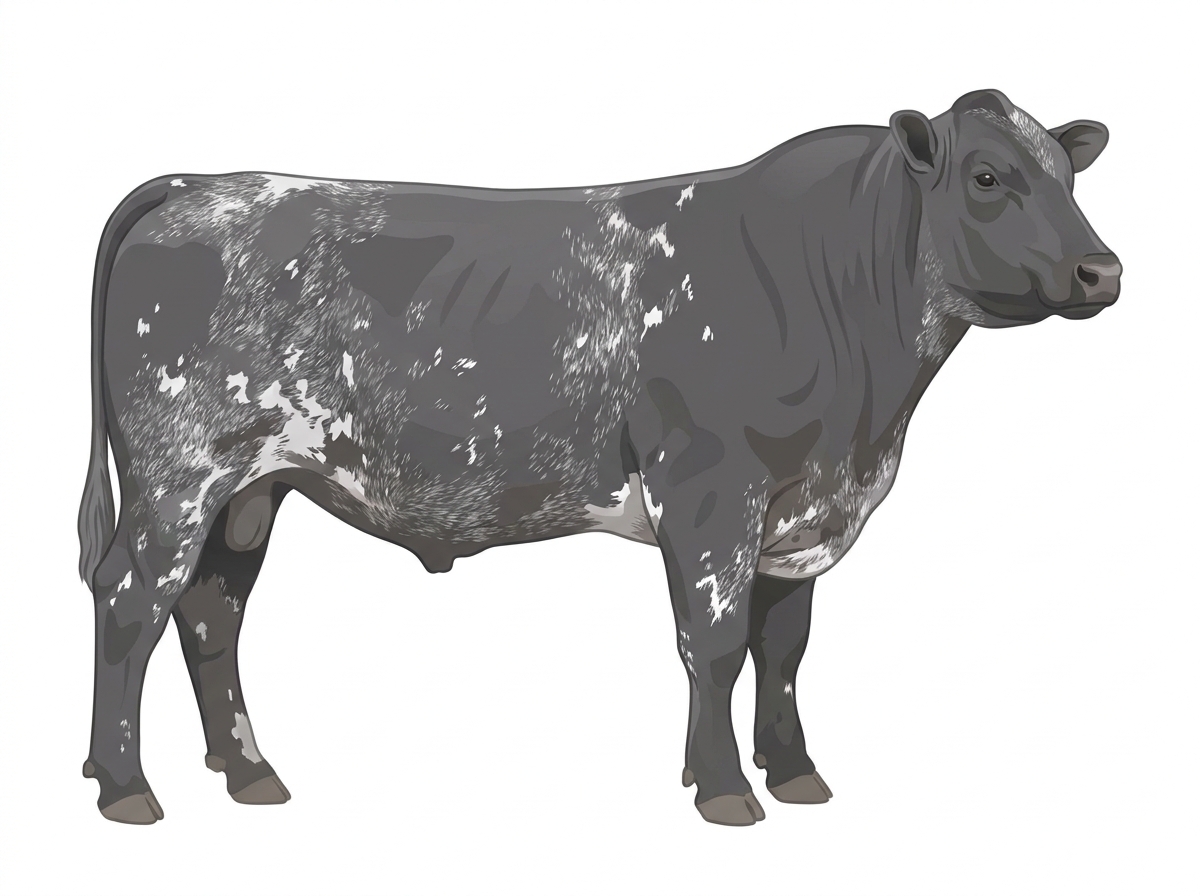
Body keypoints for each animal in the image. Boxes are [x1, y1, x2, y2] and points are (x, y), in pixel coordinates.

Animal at [78, 89, 1120, 825]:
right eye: (986, 178)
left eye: (1067, 177)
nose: (1102, 270)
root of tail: (198, 183)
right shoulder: (711, 489)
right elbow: (717, 643)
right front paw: (724, 790)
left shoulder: (802, 511)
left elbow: (785, 647)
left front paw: (796, 775)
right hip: (179, 475)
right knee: (132, 603)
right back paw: (127, 789)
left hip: (251, 490)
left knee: (211, 613)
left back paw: (249, 774)